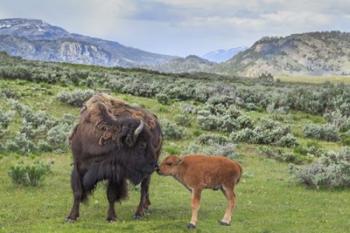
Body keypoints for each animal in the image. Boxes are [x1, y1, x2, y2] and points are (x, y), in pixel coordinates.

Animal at [66, 93, 162, 222]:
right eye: (142, 144)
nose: (154, 165)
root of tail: (156, 120)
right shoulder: (78, 166)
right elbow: (77, 192)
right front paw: (71, 217)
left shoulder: (114, 173)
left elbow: (111, 195)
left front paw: (111, 217)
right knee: (145, 188)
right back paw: (146, 207)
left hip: (145, 174)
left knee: (143, 188)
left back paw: (139, 213)